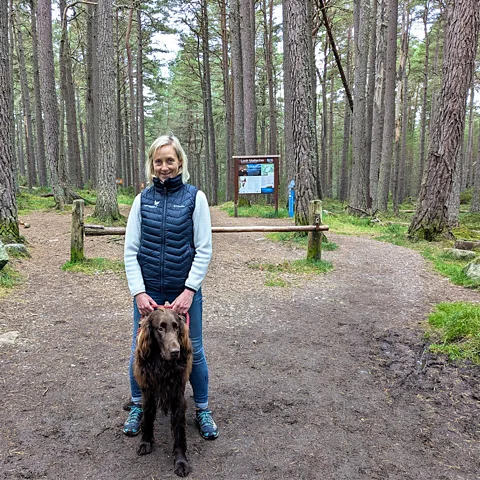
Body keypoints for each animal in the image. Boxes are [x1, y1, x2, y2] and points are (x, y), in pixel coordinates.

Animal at [133, 308, 193, 476]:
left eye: (176, 327)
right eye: (160, 328)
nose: (175, 351)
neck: (163, 366)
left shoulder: (178, 396)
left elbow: (179, 432)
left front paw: (181, 461)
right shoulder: (148, 392)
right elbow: (147, 418)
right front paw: (146, 442)